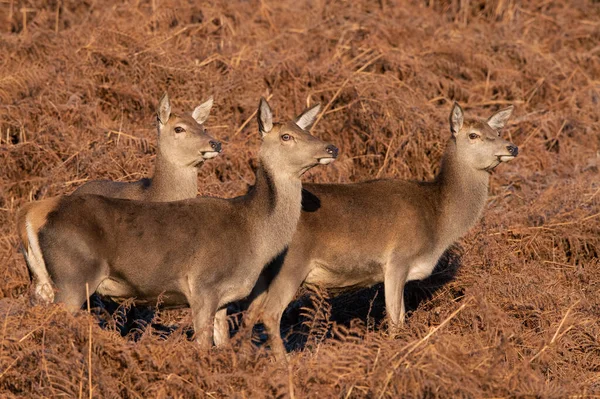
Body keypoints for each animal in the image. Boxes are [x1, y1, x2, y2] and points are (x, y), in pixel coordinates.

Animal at [15, 97, 338, 346]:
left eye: (306, 130)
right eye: (286, 136)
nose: (331, 148)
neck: (254, 234)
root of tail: (30, 212)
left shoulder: (224, 299)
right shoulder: (204, 286)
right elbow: (202, 347)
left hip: (42, 281)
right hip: (73, 277)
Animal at [223, 101, 516, 360]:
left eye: (497, 132)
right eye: (473, 135)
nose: (512, 147)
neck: (438, 219)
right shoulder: (398, 260)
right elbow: (396, 320)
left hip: (264, 273)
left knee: (249, 313)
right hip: (292, 264)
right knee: (270, 313)